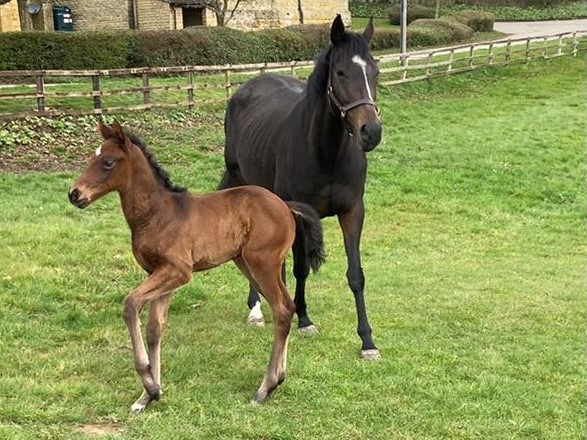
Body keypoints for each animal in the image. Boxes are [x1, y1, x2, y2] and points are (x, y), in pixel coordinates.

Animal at [70, 121, 326, 412]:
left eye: (108, 162)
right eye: (93, 157)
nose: (74, 194)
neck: (157, 214)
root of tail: (286, 206)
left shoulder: (178, 271)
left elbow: (131, 304)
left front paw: (149, 384)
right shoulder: (159, 273)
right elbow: (155, 329)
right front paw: (148, 396)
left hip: (262, 263)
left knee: (283, 310)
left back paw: (264, 388)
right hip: (249, 264)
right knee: (285, 307)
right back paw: (277, 380)